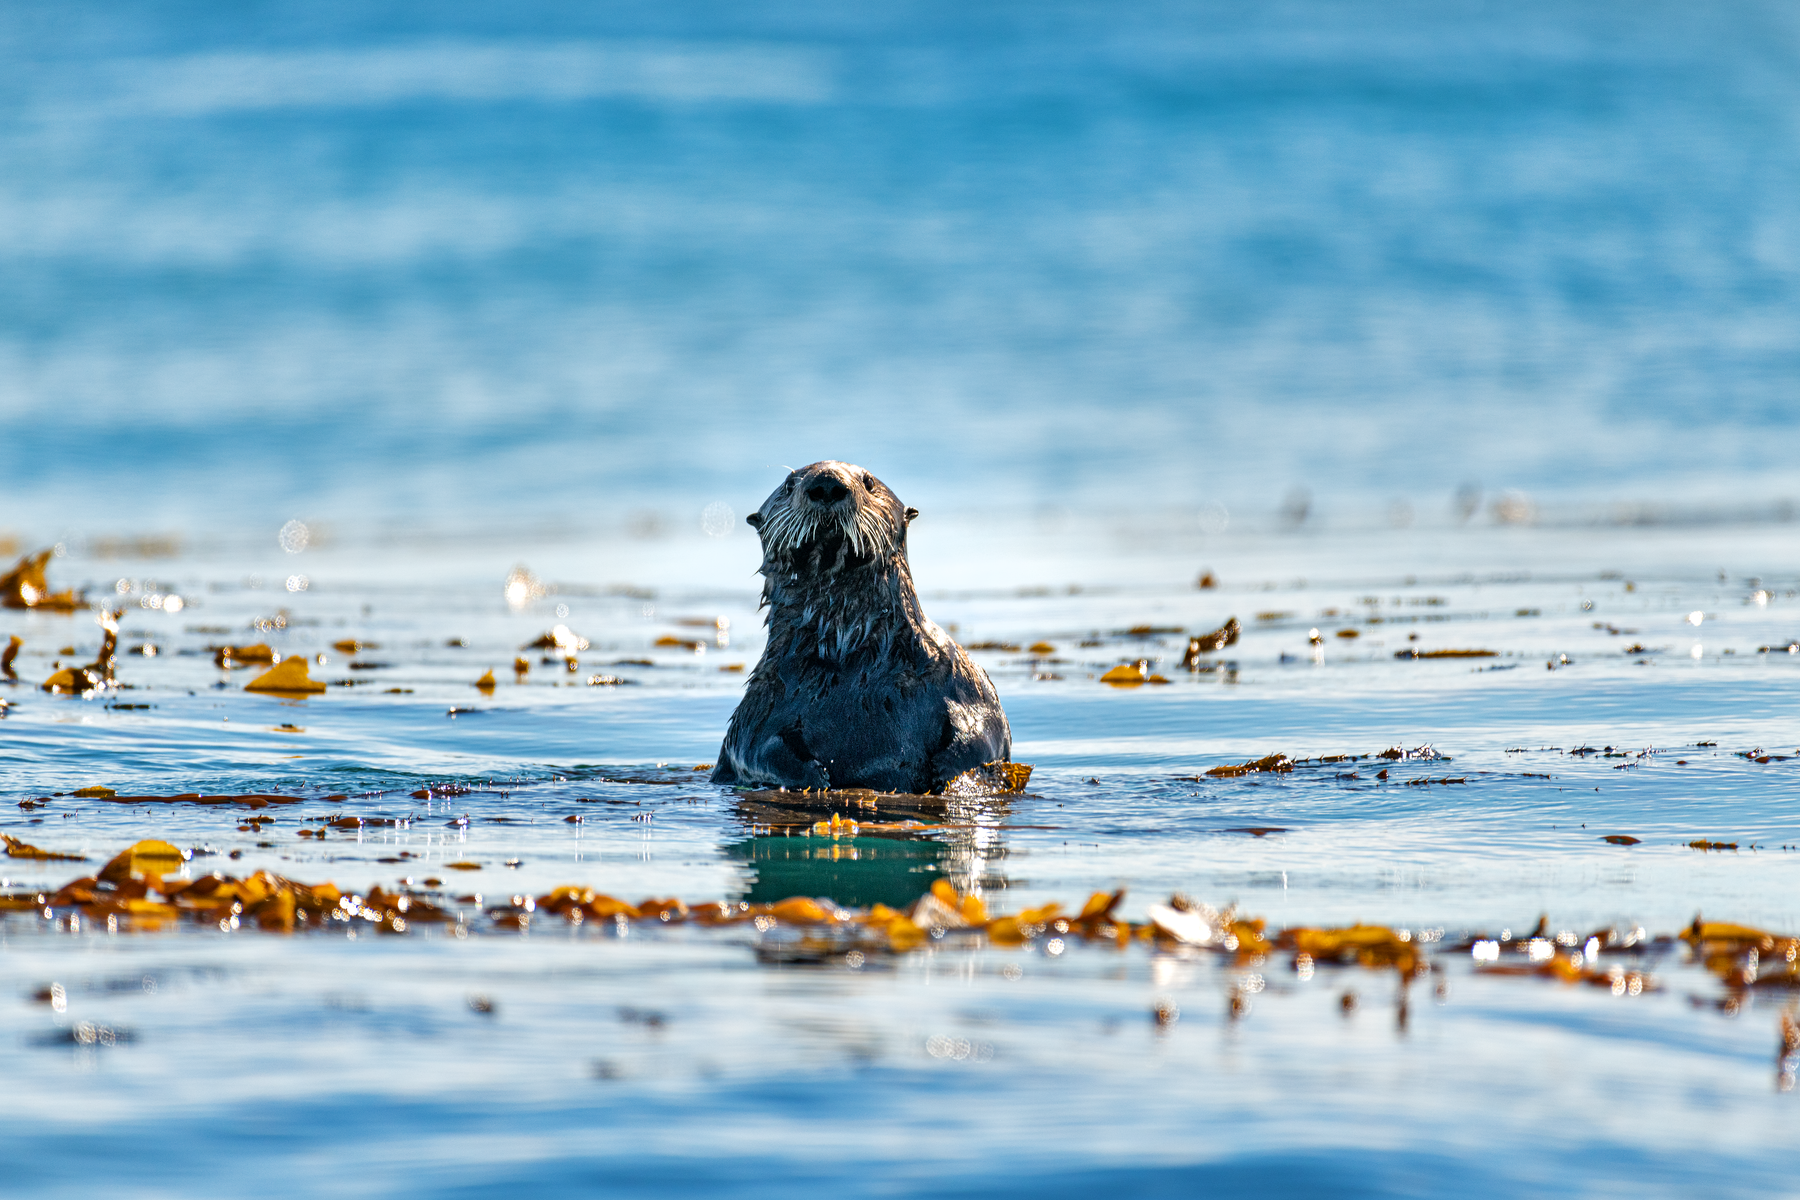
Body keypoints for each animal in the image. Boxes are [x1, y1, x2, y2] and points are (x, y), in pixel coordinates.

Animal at [711, 461, 1012, 793]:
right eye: (789, 486)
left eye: (868, 482)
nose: (827, 484)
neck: (853, 652)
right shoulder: (760, 702)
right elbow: (751, 750)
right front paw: (814, 776)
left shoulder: (959, 676)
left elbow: (988, 728)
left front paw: (949, 770)